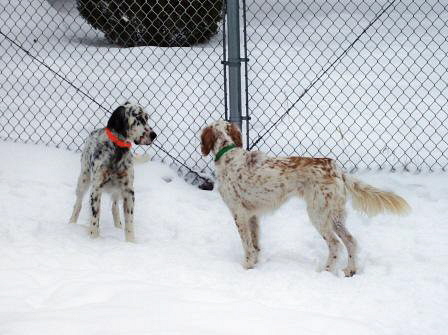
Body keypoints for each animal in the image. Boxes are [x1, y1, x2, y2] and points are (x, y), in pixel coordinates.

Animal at [67, 102, 157, 242]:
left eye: (147, 118)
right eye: (138, 118)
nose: (154, 135)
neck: (118, 150)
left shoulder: (128, 191)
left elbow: (129, 221)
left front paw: (130, 242)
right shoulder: (96, 189)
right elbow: (95, 218)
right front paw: (94, 238)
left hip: (116, 190)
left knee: (114, 206)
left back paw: (118, 226)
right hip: (83, 179)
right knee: (78, 203)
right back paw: (71, 223)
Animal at [201, 121, 412, 278]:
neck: (228, 153)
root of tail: (336, 169)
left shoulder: (239, 213)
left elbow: (247, 245)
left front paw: (246, 266)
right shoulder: (253, 215)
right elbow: (255, 244)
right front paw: (255, 264)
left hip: (318, 214)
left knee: (335, 244)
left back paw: (325, 272)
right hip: (335, 216)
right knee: (351, 241)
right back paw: (350, 270)